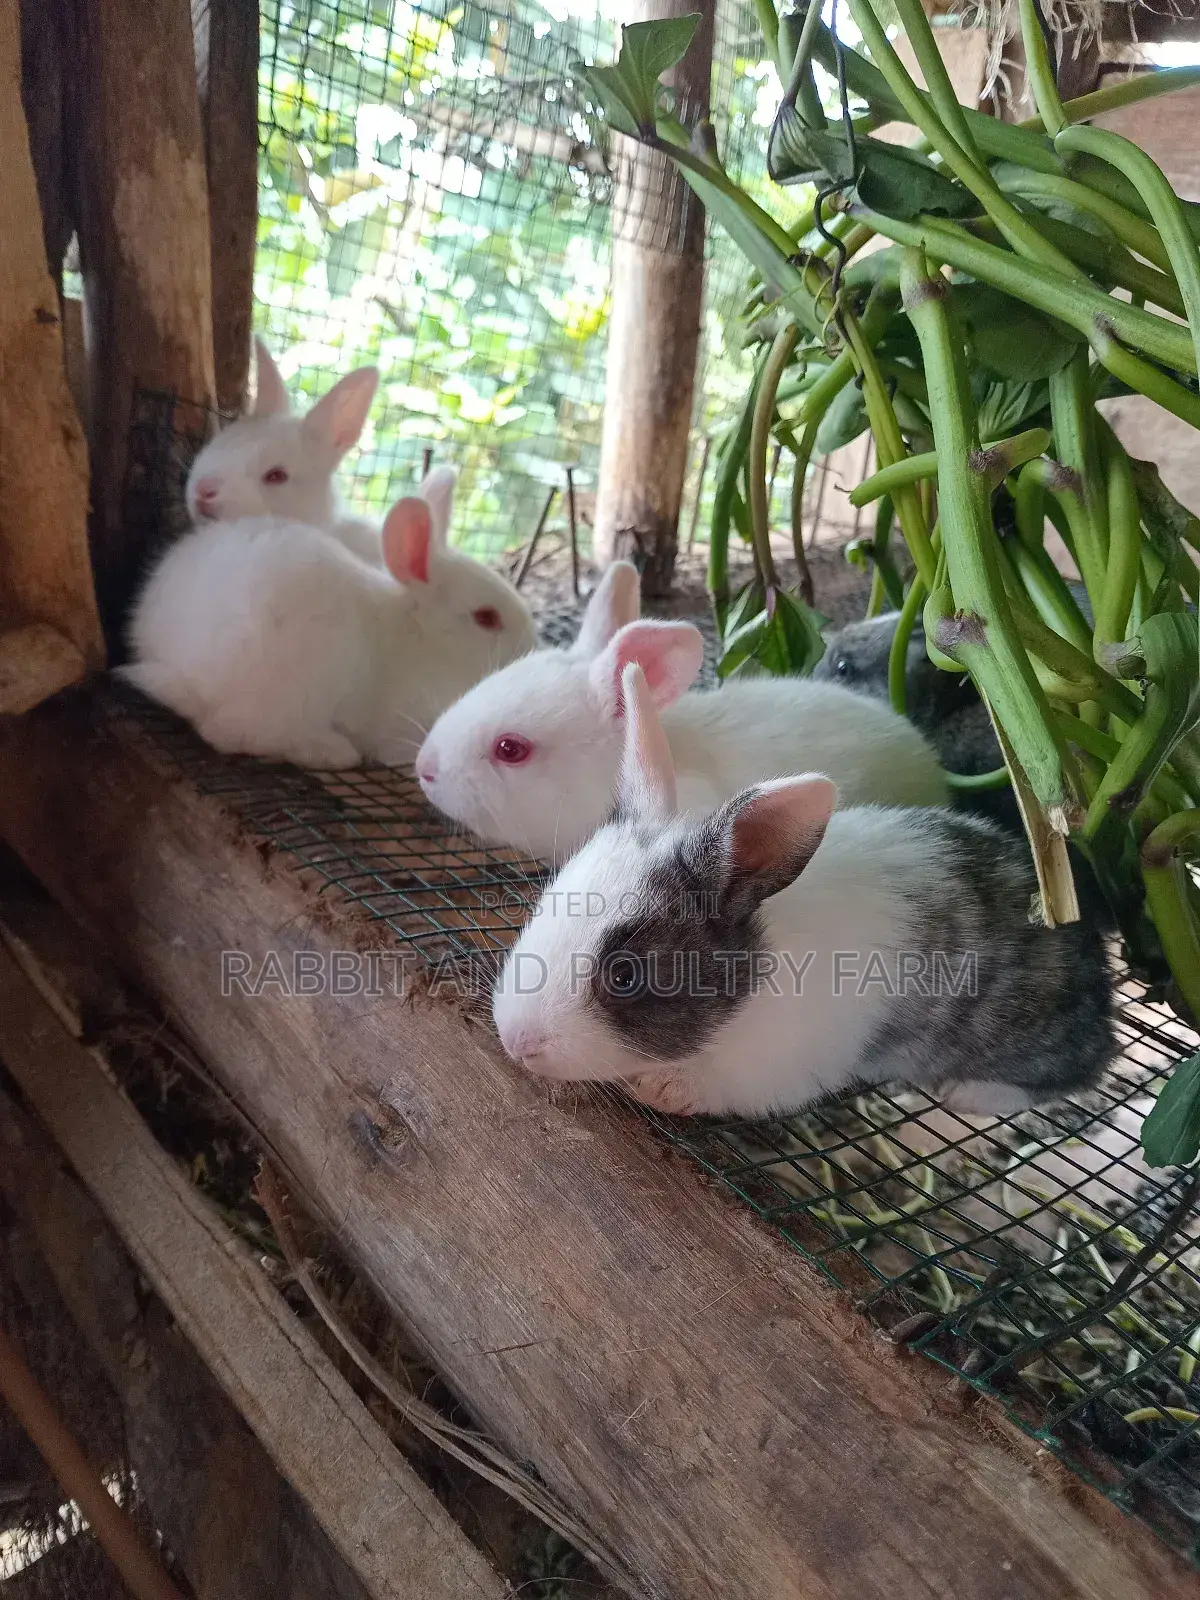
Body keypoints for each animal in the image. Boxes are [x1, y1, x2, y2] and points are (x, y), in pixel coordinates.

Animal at [119, 468, 537, 770]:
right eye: (486, 617)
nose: (529, 648)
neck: (423, 637)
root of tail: (184, 674)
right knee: (232, 732)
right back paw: (332, 752)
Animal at [492, 663, 1115, 1120]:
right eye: (547, 902)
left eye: (625, 976)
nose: (516, 1041)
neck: (753, 984)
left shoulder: (780, 1069)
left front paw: (662, 1089)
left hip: (1036, 1037)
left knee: (1080, 1068)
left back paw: (970, 1093)